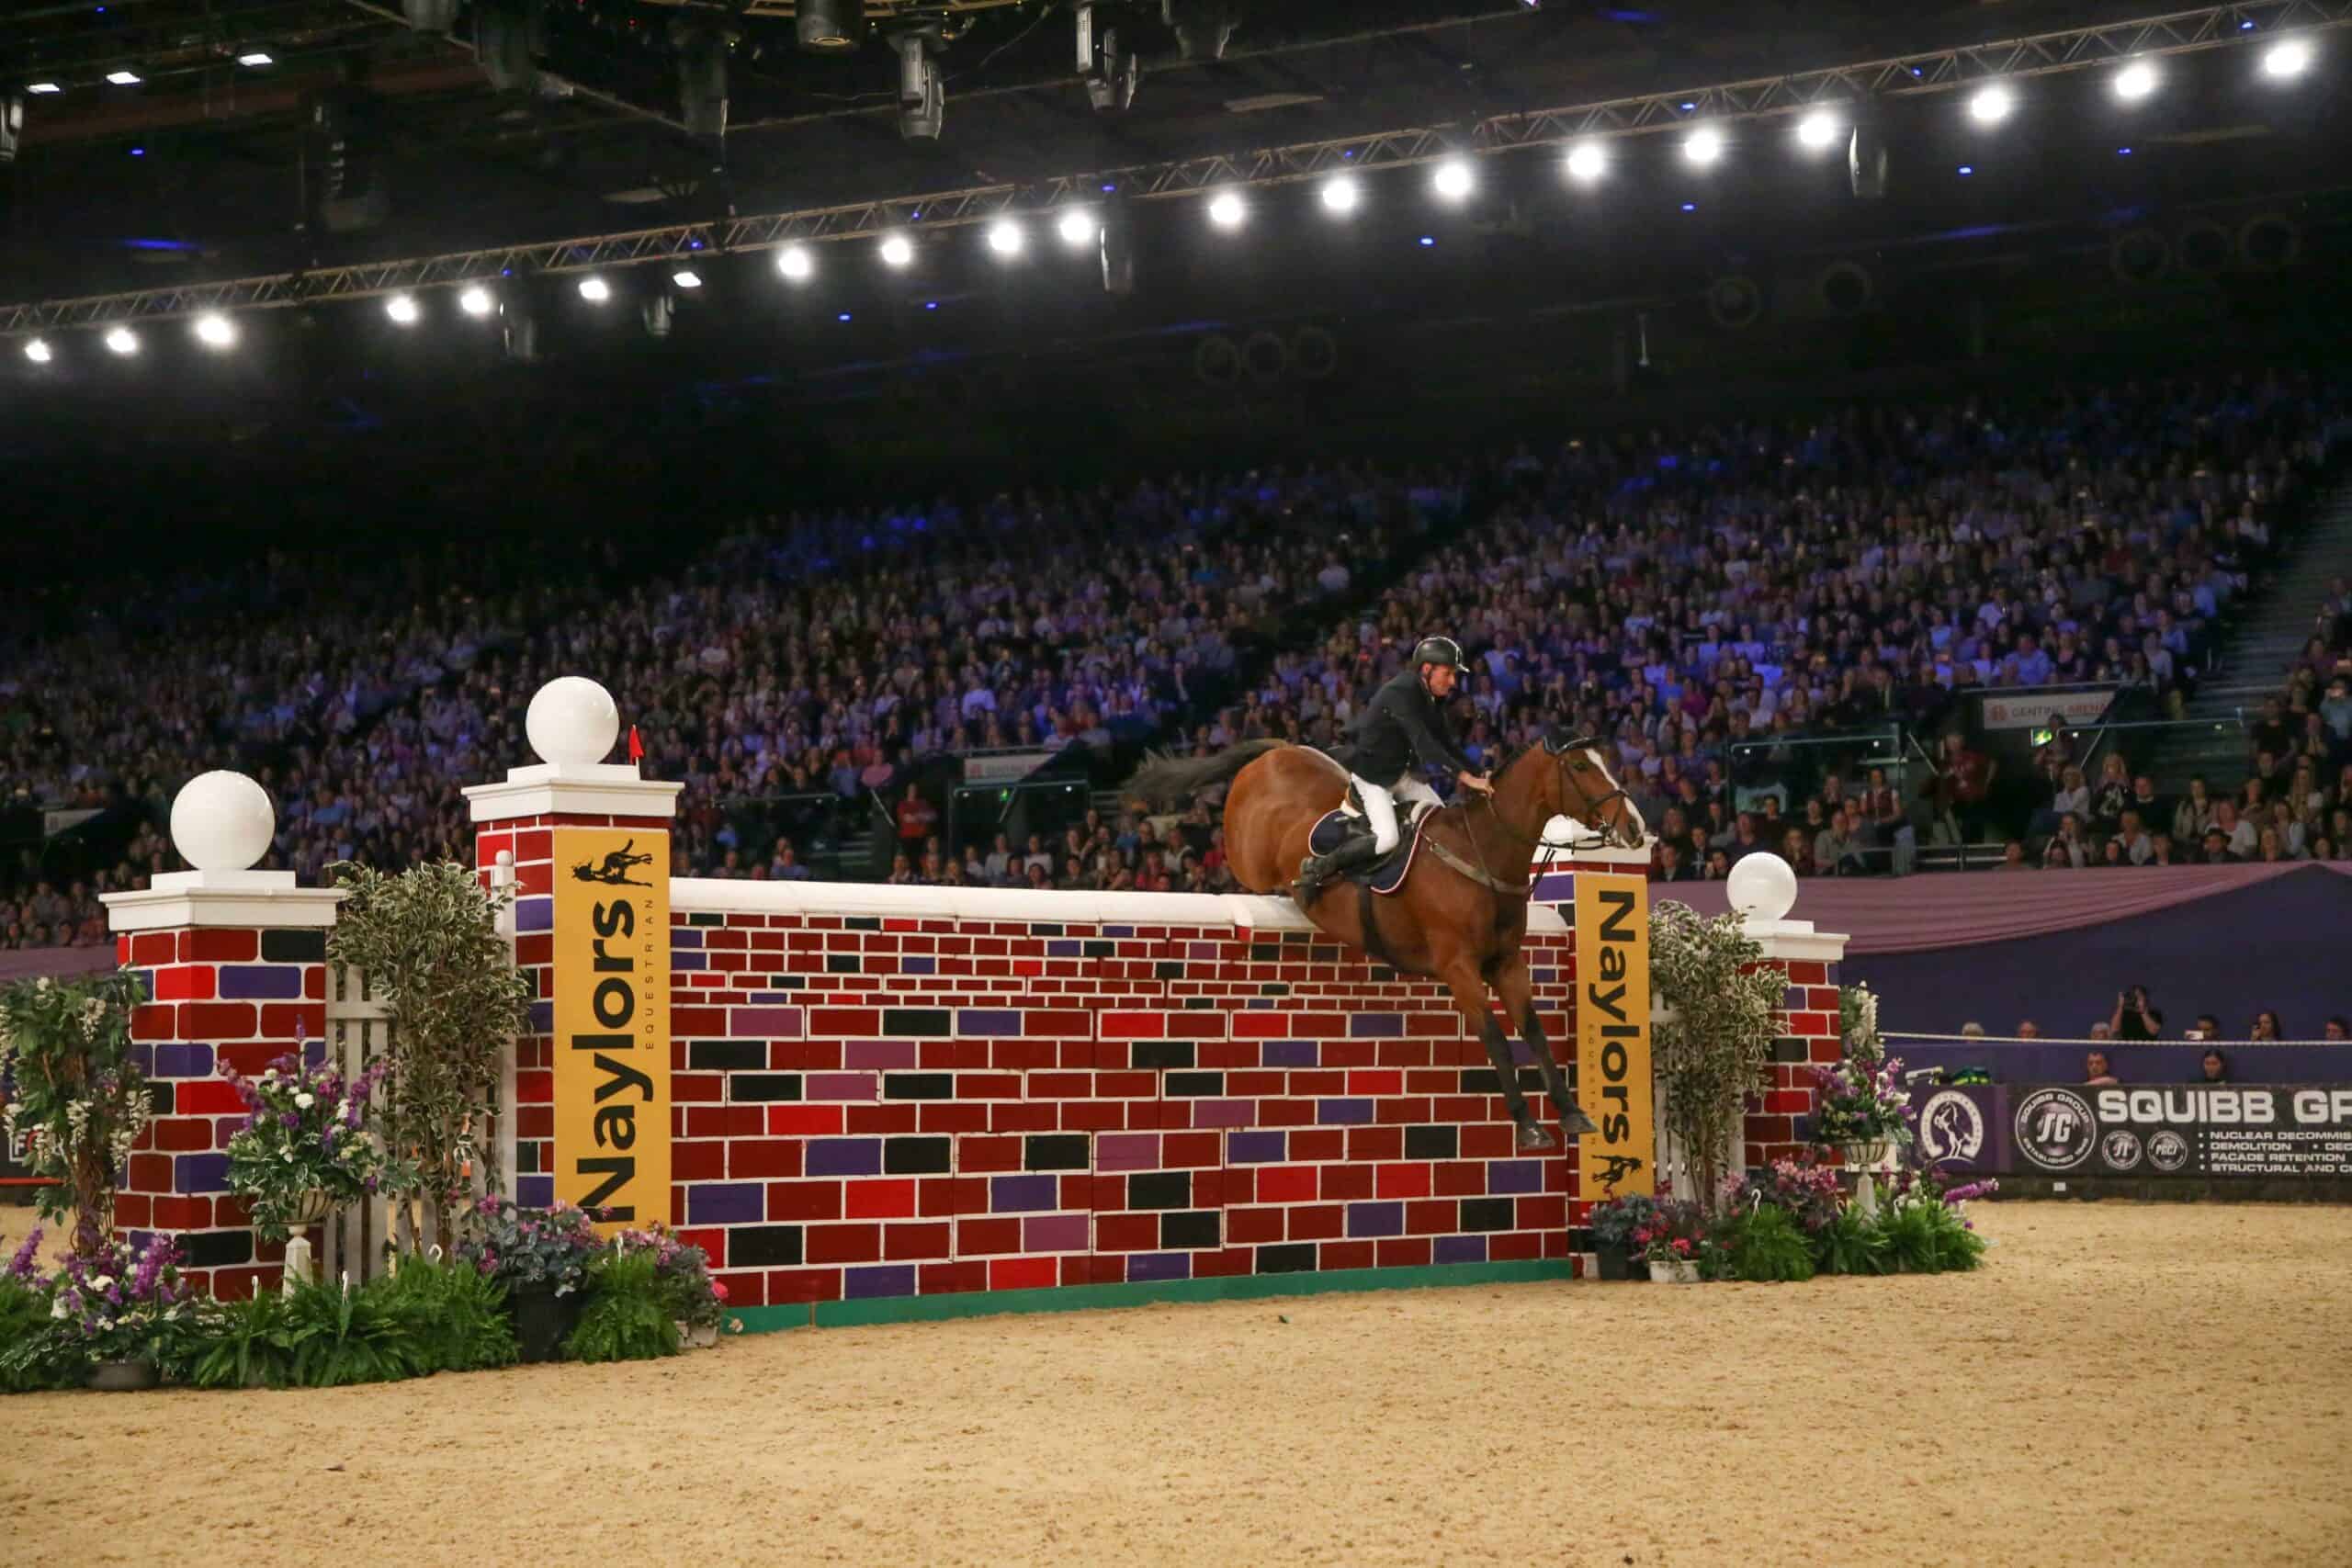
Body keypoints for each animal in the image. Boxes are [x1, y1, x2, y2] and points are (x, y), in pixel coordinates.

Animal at [1126, 731, 1648, 1151]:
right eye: (1580, 767)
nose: (1636, 828)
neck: (1483, 851)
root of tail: (1276, 753)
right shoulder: (1458, 967)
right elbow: (1496, 1038)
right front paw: (1528, 1126)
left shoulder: (1507, 963)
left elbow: (1534, 1031)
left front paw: (1573, 1113)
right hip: (1246, 858)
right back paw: (1304, 876)